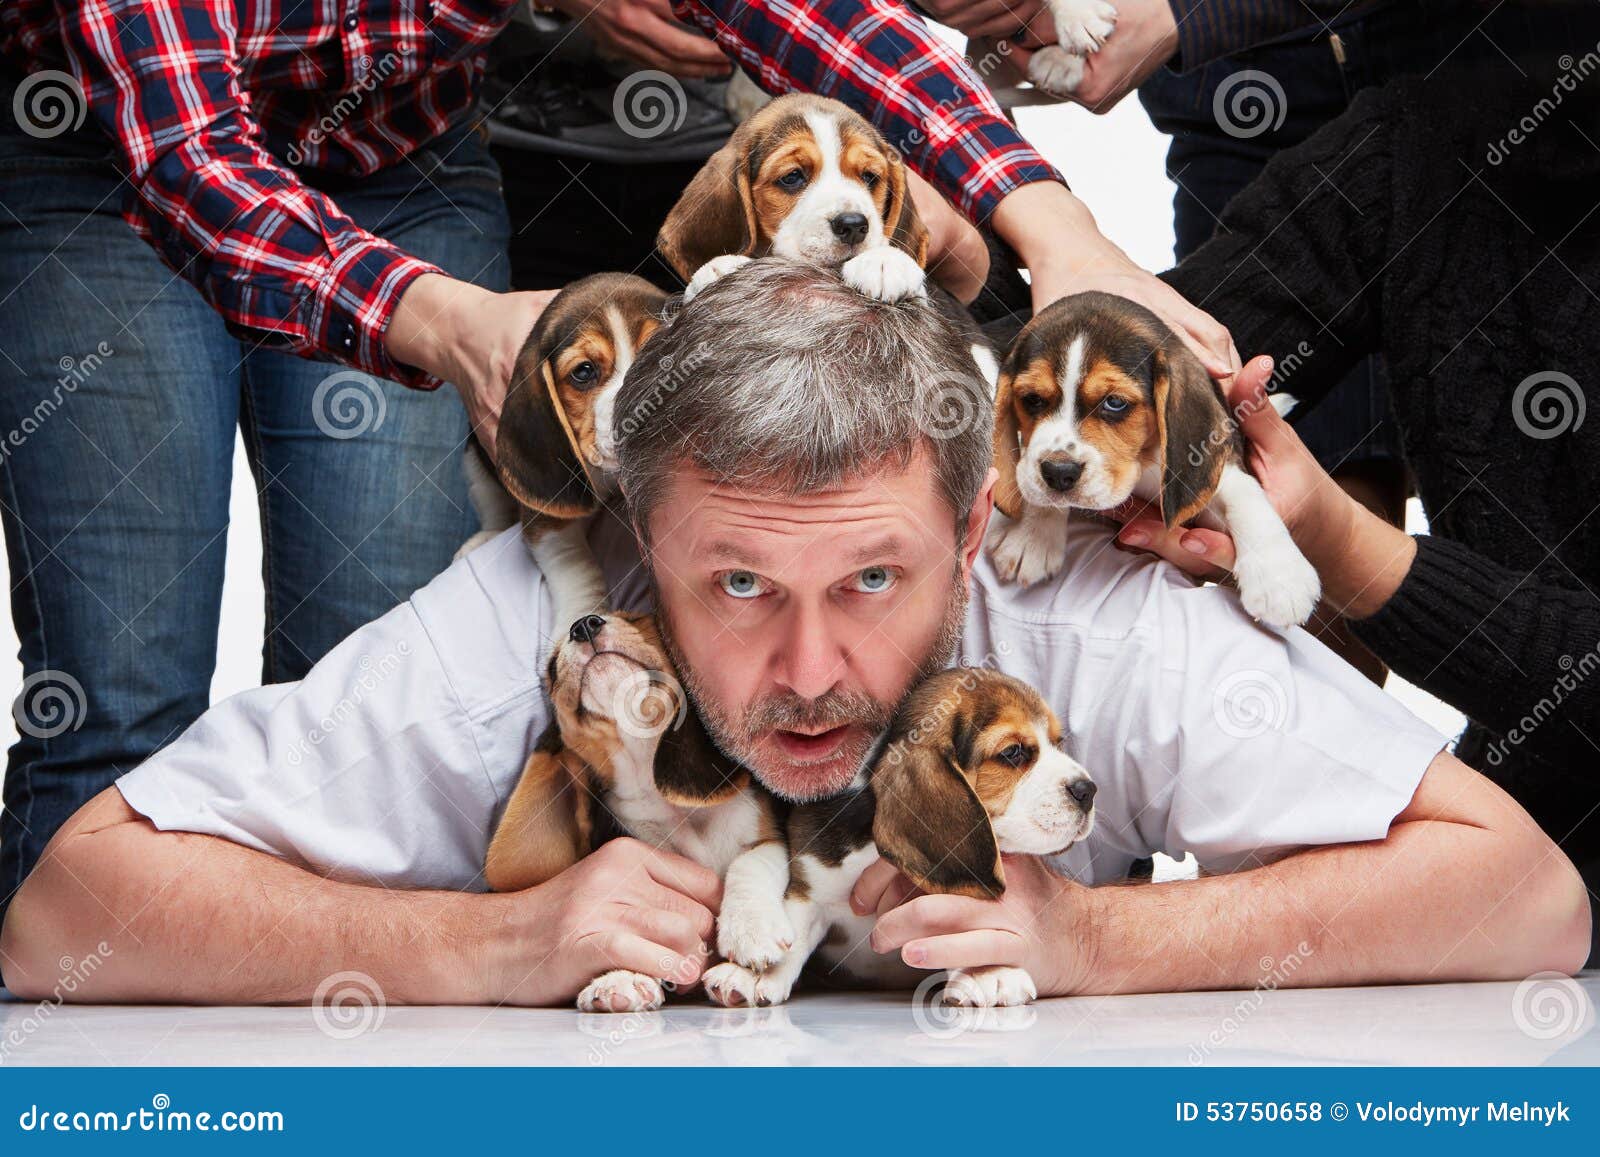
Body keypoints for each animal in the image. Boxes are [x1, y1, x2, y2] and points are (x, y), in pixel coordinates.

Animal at [457, 272, 668, 636]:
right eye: (583, 372)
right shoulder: (549, 516)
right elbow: (575, 566)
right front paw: (581, 618)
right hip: (475, 458)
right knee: (493, 504)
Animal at [483, 611, 790, 1017]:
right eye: (551, 669)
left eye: (639, 618)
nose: (583, 624)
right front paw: (621, 976)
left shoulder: (772, 836)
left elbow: (750, 861)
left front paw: (750, 932)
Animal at [704, 665, 1094, 1011]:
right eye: (1013, 753)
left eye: (1058, 743)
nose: (1088, 791)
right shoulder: (812, 881)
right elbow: (796, 927)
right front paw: (752, 974)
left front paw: (987, 970)